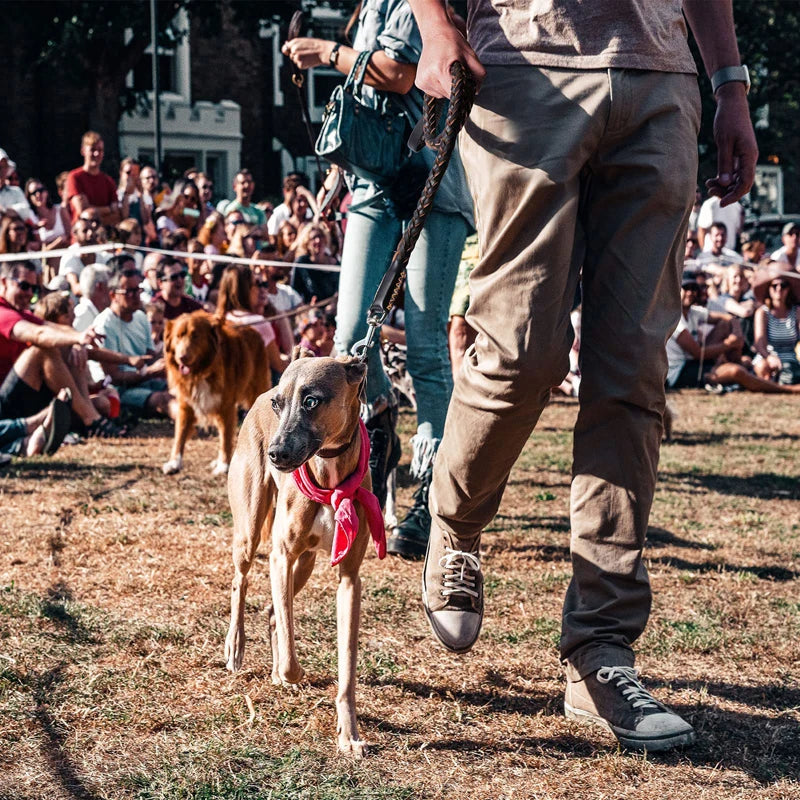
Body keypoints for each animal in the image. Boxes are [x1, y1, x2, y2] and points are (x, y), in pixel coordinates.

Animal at [223, 352, 386, 756]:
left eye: (312, 400)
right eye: (278, 405)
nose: (276, 454)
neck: (329, 481)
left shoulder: (349, 579)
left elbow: (346, 667)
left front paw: (349, 734)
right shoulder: (281, 557)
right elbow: (289, 648)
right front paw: (288, 672)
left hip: (308, 562)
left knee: (271, 612)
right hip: (250, 530)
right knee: (241, 583)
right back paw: (236, 646)